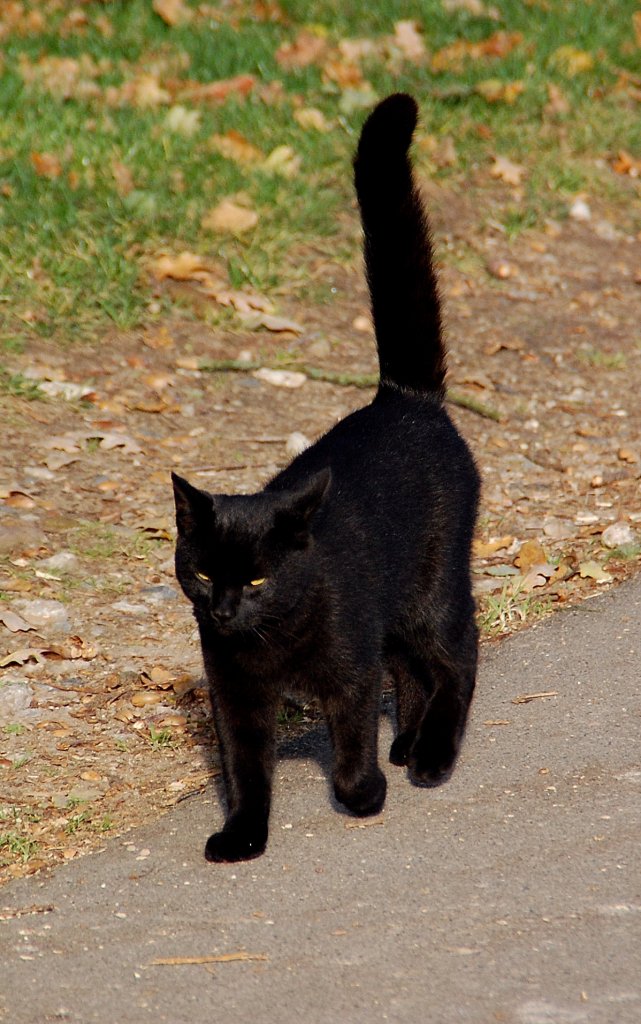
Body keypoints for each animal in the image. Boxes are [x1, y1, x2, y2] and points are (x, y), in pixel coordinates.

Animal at [172, 96, 477, 864]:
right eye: (201, 574)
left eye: (257, 578)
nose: (223, 611)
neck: (269, 640)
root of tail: (402, 398)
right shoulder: (235, 698)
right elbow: (245, 772)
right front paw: (243, 835)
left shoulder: (349, 668)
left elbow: (349, 739)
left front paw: (361, 793)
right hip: (396, 612)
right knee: (414, 669)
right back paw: (408, 741)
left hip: (430, 590)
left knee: (456, 656)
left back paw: (430, 757)